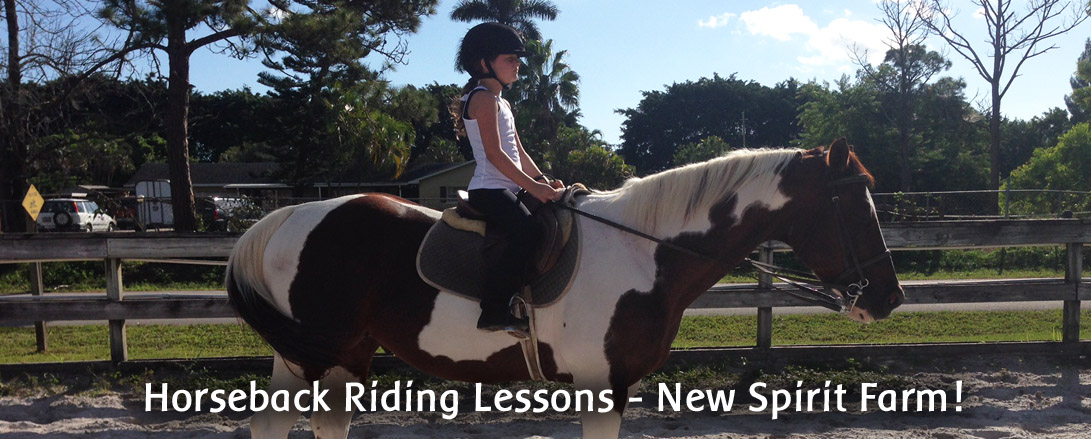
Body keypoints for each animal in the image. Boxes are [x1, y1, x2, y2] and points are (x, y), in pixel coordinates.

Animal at [223, 136, 903, 434]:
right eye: (853, 204)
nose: (889, 297)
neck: (643, 252)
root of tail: (290, 216)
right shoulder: (602, 386)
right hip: (315, 354)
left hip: (337, 352)